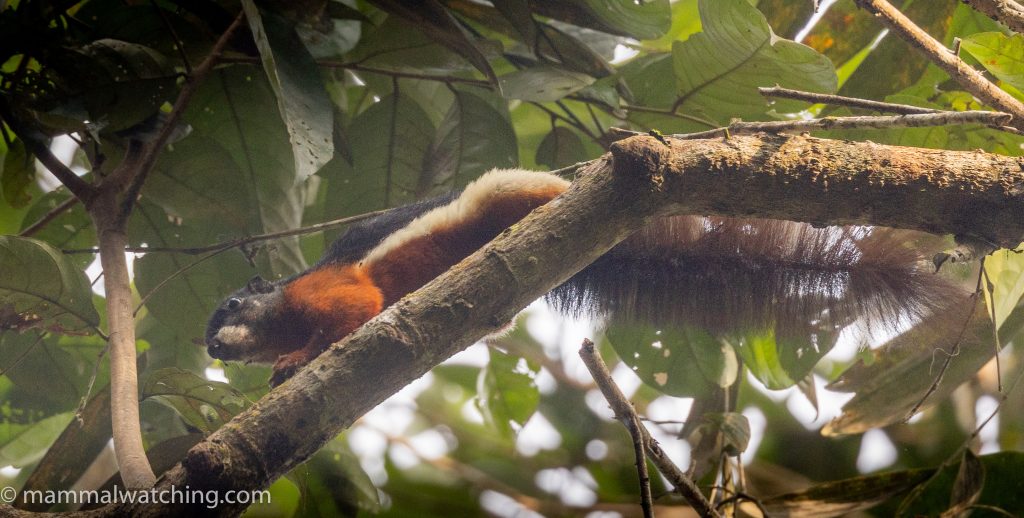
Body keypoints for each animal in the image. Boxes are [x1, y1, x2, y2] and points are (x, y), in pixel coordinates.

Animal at [204, 169, 965, 386]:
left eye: (229, 308)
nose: (213, 349)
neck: (283, 308)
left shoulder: (325, 290)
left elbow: (356, 307)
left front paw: (298, 359)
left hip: (506, 192)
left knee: (532, 192)